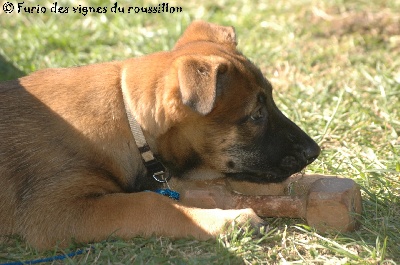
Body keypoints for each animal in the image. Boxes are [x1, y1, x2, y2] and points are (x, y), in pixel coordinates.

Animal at [0, 20, 318, 248]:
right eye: (256, 115)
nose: (314, 152)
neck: (129, 121)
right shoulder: (55, 210)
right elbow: (152, 203)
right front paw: (230, 221)